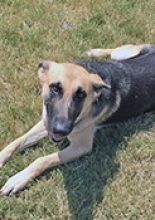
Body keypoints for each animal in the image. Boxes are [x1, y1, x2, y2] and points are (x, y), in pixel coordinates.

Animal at [0, 43, 155, 195]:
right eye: (55, 88)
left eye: (81, 95)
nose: (61, 130)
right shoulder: (47, 121)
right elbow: (17, 142)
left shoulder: (81, 147)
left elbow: (42, 160)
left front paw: (19, 179)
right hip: (121, 55)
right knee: (117, 50)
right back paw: (95, 52)